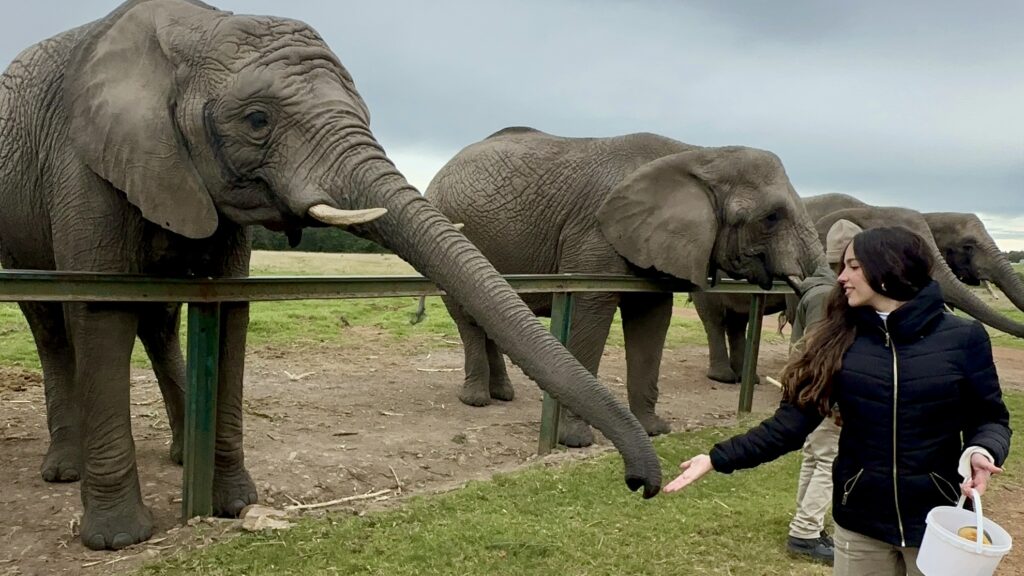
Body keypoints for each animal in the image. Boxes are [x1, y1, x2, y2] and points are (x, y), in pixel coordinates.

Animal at [0, 1, 660, 549]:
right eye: (257, 120)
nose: (642, 484)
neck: (201, 26)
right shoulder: (86, 160)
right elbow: (101, 311)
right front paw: (118, 540)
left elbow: (228, 308)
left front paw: (234, 505)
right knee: (52, 325)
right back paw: (65, 470)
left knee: (156, 320)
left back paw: (179, 457)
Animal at [424, 127, 824, 448]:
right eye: (771, 217)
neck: (698, 153)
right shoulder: (594, 234)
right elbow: (590, 317)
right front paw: (576, 441)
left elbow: (652, 320)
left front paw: (654, 431)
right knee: (468, 319)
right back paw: (477, 400)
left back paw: (503, 395)